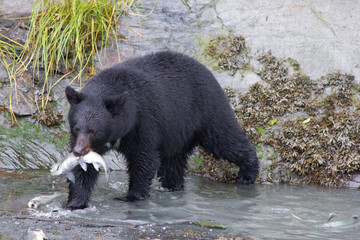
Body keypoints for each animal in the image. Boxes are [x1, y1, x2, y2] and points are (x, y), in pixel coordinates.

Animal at [64, 51, 258, 210]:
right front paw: (75, 202)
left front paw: (133, 197)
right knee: (174, 162)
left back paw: (248, 173)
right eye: (77, 128)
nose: (78, 151)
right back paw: (171, 186)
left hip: (207, 110)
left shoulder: (143, 121)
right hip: (177, 132)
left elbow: (144, 159)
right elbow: (83, 169)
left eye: (93, 130)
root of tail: (206, 69)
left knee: (225, 139)